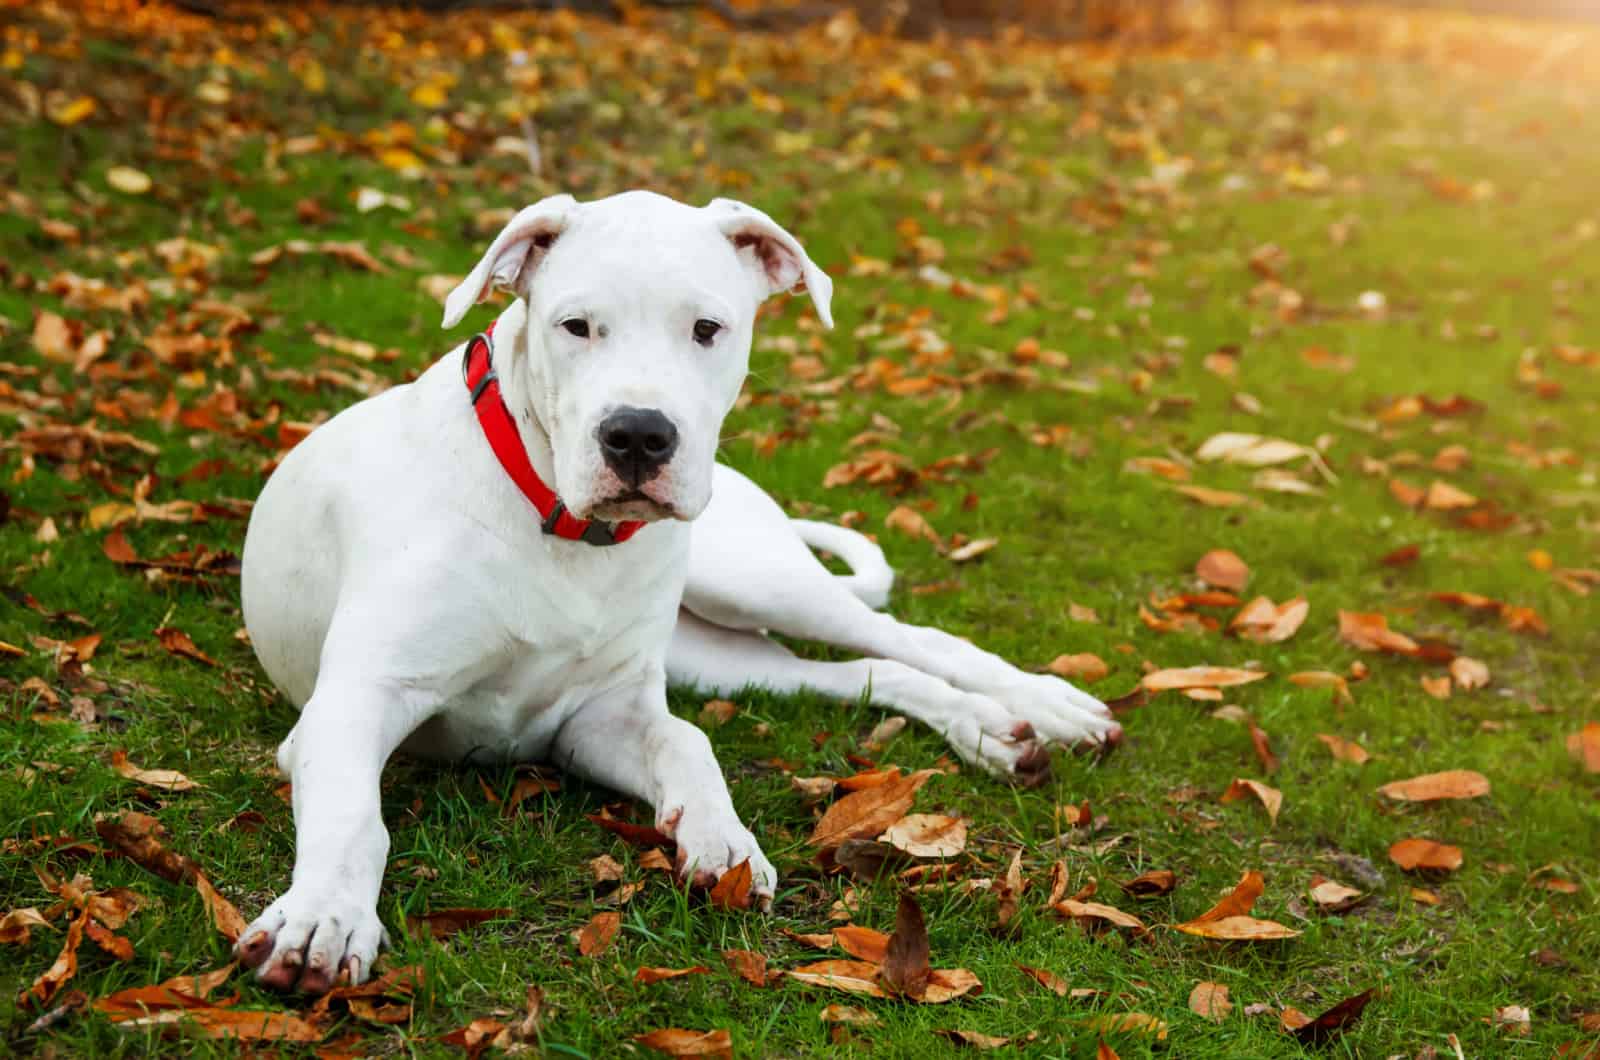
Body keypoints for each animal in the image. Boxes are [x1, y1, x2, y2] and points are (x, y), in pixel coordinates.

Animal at [236, 191, 1120, 999]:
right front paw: (322, 919)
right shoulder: (363, 703)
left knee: (910, 639)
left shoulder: (601, 712)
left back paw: (1042, 708)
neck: (563, 526)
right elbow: (356, 816)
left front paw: (722, 839)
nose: (638, 435)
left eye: (707, 329)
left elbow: (687, 743)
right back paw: (993, 732)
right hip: (718, 655)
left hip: (753, 582)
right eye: (575, 326)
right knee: (860, 671)